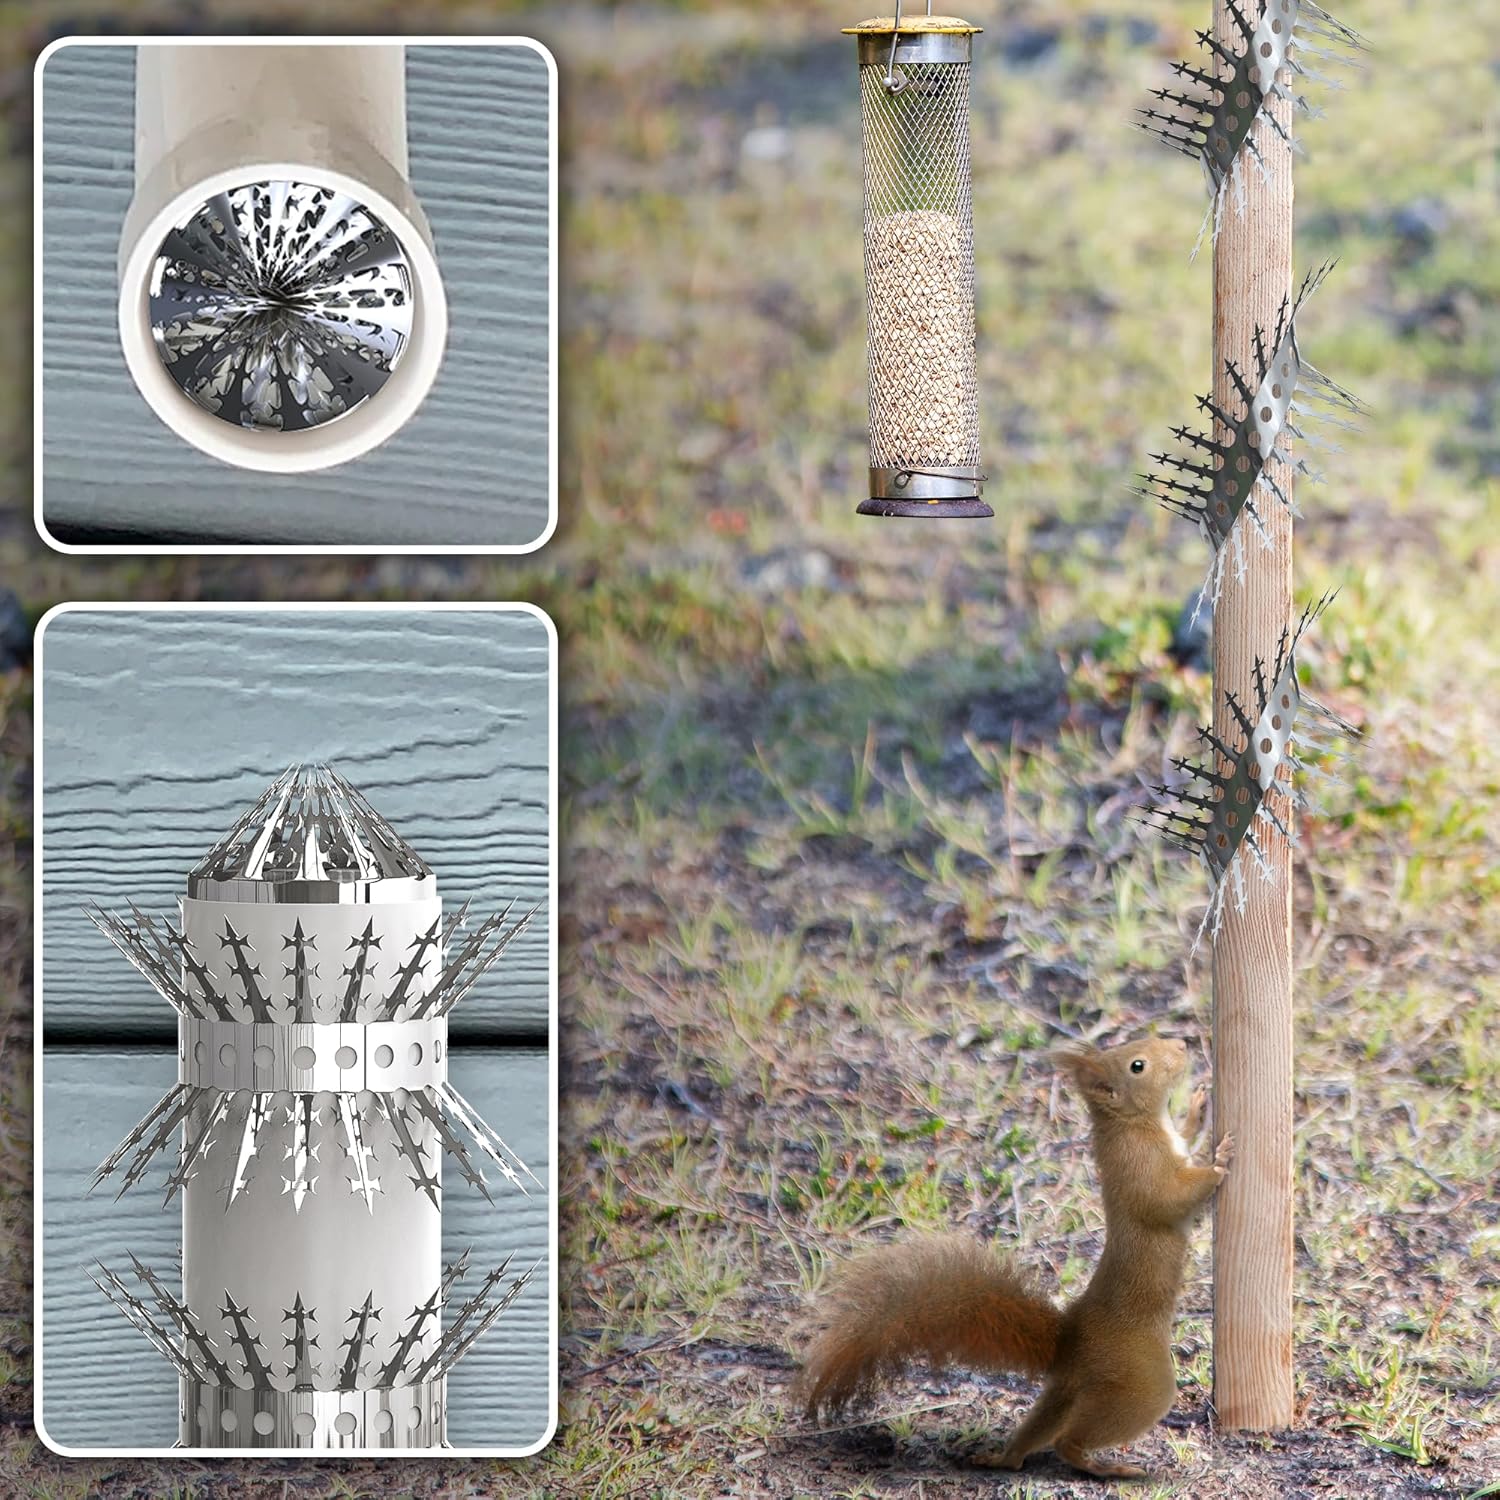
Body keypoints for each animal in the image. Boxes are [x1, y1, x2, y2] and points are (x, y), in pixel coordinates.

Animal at [799, 1036, 1234, 1480]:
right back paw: (1109, 1467)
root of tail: (1069, 1342)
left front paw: (1198, 1109)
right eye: (1137, 1065)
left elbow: (1185, 1140)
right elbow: (1168, 1200)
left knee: (1039, 1427)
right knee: (1069, 1441)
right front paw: (1219, 1162)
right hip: (1141, 1382)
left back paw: (1003, 1458)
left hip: (1067, 1389)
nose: (1180, 1045)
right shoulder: (1139, 1169)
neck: (1135, 1123)